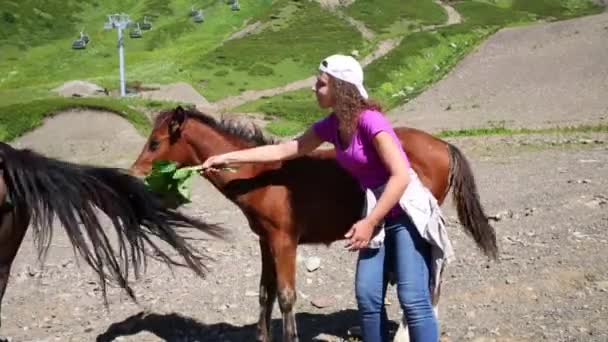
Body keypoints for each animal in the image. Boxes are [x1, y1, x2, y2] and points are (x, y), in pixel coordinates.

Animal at [131, 105, 496, 340]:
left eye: (155, 143)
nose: (134, 175)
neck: (260, 177)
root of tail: (443, 145)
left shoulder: (284, 240)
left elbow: (285, 296)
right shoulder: (265, 240)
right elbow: (264, 293)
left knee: (431, 278)